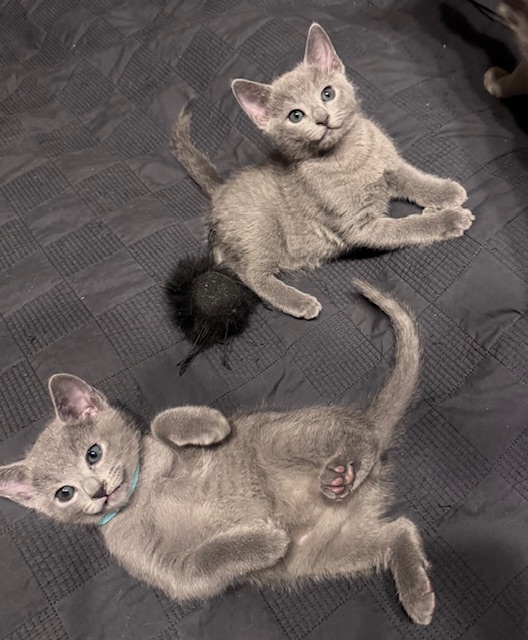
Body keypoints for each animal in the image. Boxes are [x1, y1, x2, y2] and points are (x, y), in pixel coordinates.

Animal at [0, 280, 435, 626]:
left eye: (93, 453)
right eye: (64, 493)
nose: (97, 491)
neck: (142, 497)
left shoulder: (162, 449)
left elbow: (158, 423)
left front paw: (212, 425)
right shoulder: (171, 573)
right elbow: (206, 560)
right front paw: (265, 542)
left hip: (284, 437)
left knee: (361, 441)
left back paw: (343, 471)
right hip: (323, 554)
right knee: (400, 528)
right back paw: (417, 592)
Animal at [171, 22, 474, 324]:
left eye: (327, 93)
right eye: (295, 116)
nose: (322, 118)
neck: (348, 156)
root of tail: (220, 190)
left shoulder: (389, 166)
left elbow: (413, 178)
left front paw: (446, 192)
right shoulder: (361, 228)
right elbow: (405, 227)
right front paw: (449, 219)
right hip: (260, 227)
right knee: (249, 273)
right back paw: (298, 301)